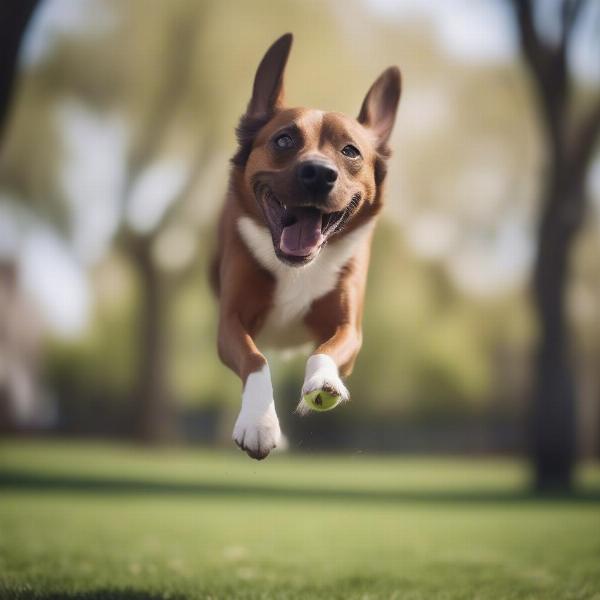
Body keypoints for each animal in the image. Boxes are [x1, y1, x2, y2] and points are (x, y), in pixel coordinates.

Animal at [212, 32, 404, 460]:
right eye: (284, 139)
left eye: (350, 151)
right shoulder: (230, 321)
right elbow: (255, 359)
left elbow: (327, 350)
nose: (318, 173)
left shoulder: (349, 327)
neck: (297, 267)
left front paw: (323, 383)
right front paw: (259, 424)